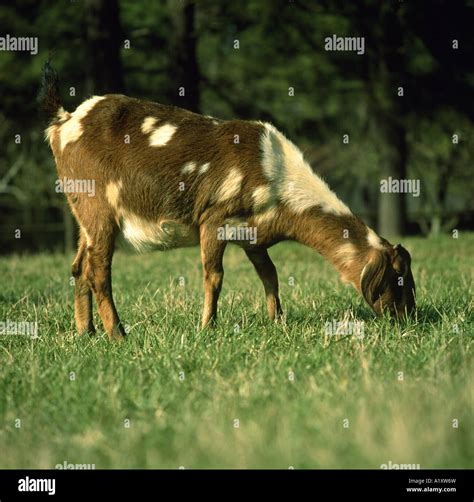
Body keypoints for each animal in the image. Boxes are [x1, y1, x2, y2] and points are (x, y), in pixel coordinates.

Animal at [39, 60, 414, 340]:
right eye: (398, 277)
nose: (410, 317)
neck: (275, 173)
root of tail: (64, 120)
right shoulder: (214, 218)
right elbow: (214, 276)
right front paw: (207, 327)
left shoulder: (253, 235)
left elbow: (270, 274)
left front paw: (277, 321)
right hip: (97, 208)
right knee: (98, 270)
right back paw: (118, 334)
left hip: (81, 214)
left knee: (78, 267)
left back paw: (86, 332)